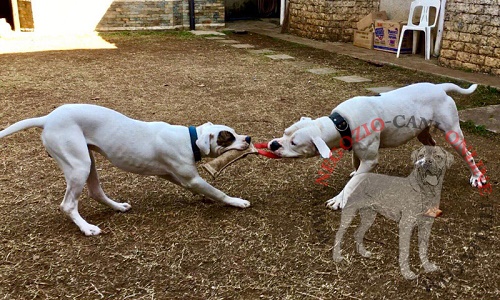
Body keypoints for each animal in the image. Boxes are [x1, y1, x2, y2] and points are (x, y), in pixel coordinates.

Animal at [268, 82, 486, 209]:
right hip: (421, 132)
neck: (340, 123)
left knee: (467, 154)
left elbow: (353, 182)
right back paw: (425, 161)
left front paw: (340, 198)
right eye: (285, 132)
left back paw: (477, 176)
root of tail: (439, 87)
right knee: (431, 143)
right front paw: (357, 179)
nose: (273, 144)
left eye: (294, 143)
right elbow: (356, 171)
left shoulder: (370, 159)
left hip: (453, 133)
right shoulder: (358, 152)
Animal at [334, 146, 456, 280]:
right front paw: (406, 273)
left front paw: (427, 266)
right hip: (349, 213)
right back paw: (336, 257)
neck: (426, 192)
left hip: (369, 215)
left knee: (357, 233)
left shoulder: (427, 225)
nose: (426, 162)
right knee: (339, 234)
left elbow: (423, 248)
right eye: (421, 156)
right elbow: (405, 251)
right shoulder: (406, 225)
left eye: (438, 156)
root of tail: (358, 176)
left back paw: (363, 252)